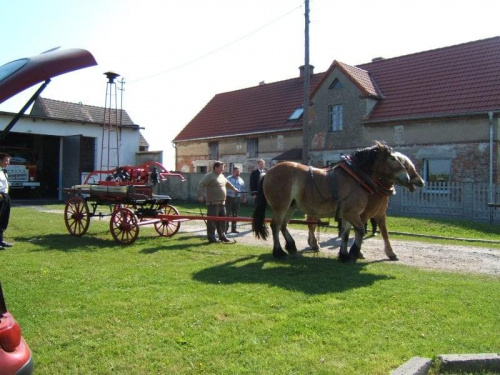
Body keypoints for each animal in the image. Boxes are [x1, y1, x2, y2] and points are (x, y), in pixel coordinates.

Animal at [254, 142, 410, 262]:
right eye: (392, 158)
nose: (407, 177)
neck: (354, 177)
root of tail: (268, 172)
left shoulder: (348, 214)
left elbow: (346, 234)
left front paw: (344, 255)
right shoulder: (352, 213)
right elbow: (360, 230)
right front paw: (354, 252)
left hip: (290, 207)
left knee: (283, 226)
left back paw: (291, 246)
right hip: (280, 206)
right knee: (275, 226)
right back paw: (279, 252)